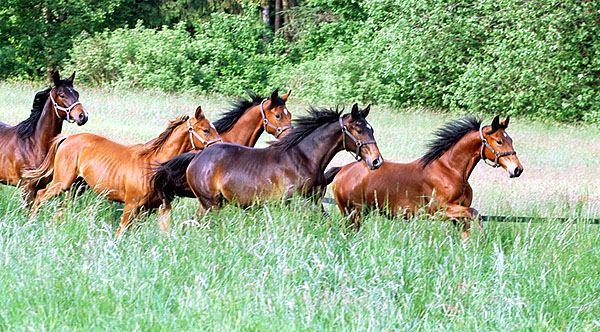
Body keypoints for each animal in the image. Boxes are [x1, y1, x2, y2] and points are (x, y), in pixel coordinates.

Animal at [0, 71, 88, 204]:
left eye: (76, 93)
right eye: (62, 95)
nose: (83, 116)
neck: (34, 145)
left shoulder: (40, 186)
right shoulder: (27, 188)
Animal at [24, 105, 223, 237]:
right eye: (205, 130)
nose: (221, 147)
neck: (151, 166)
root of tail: (69, 138)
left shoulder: (149, 210)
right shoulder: (130, 205)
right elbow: (120, 232)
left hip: (76, 186)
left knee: (62, 207)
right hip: (62, 182)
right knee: (40, 195)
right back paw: (29, 224)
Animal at [179, 104, 384, 217]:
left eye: (371, 129)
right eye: (359, 129)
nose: (377, 161)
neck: (305, 158)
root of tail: (197, 156)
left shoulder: (315, 201)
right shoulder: (292, 203)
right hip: (210, 203)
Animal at [330, 115, 524, 237]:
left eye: (511, 140)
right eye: (499, 141)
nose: (517, 169)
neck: (449, 170)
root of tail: (342, 170)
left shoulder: (458, 213)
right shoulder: (440, 210)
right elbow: (475, 213)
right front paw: (483, 239)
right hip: (352, 213)